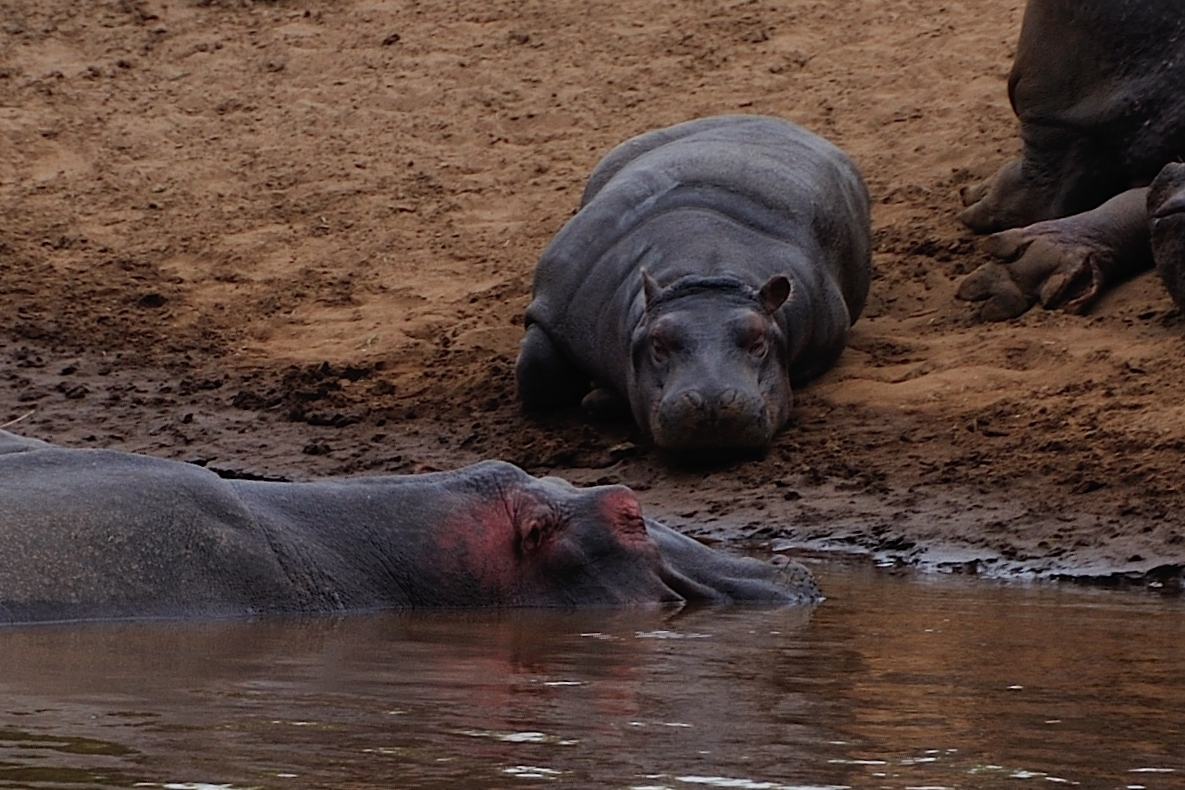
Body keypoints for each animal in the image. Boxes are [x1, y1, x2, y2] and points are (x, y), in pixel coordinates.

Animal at [516, 114, 872, 454]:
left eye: (759, 342)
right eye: (658, 345)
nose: (712, 403)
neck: (706, 276)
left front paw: (596, 397)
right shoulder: (560, 303)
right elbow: (535, 370)